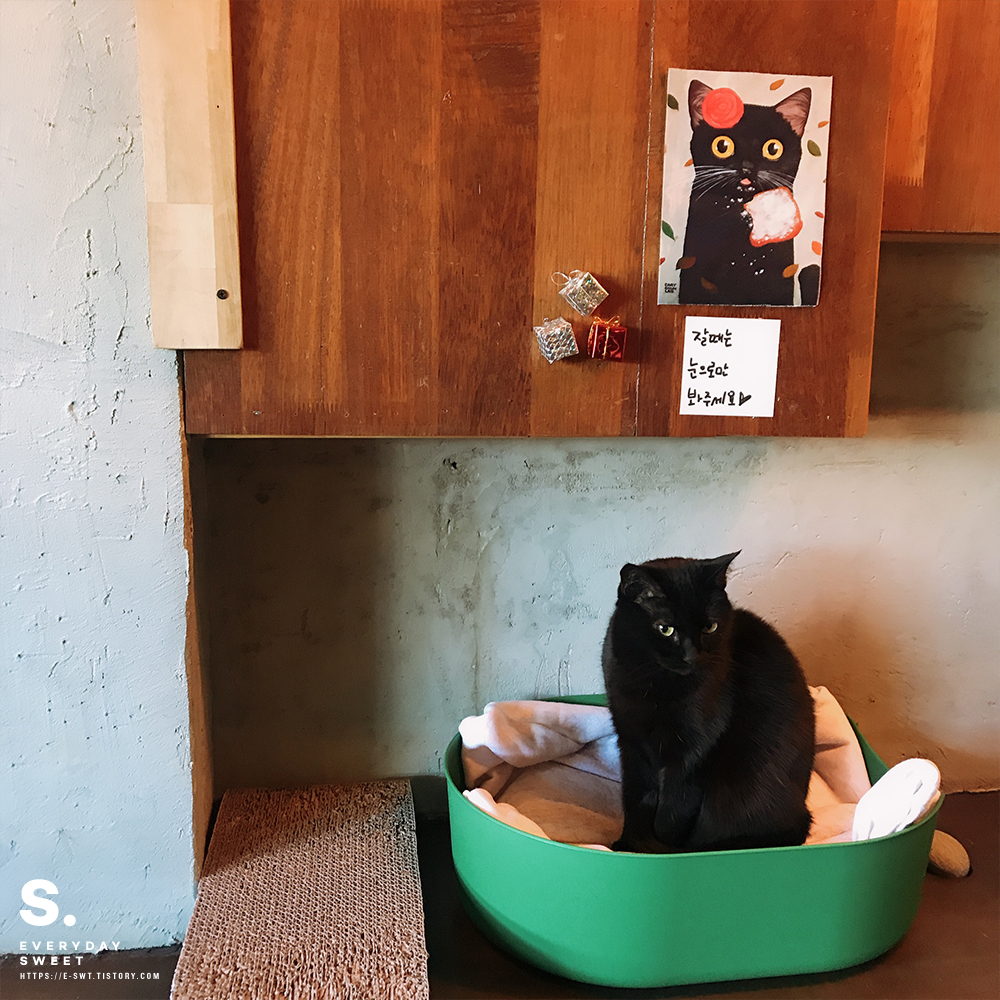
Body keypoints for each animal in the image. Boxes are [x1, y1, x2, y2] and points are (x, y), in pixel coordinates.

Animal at [601, 552, 815, 853]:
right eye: (665, 629)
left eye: (710, 626)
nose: (692, 655)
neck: (654, 684)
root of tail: (801, 817)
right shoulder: (630, 741)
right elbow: (634, 796)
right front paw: (628, 841)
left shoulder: (692, 751)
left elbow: (673, 808)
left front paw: (660, 849)